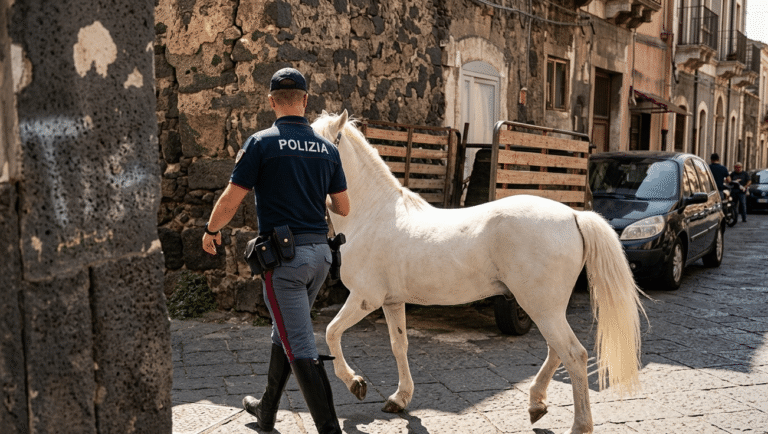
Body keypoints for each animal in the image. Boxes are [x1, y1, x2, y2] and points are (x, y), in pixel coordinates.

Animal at [312, 110, 647, 434]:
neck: (372, 214)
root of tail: (575, 215)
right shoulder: (392, 302)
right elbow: (399, 346)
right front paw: (399, 398)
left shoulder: (364, 298)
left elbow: (331, 332)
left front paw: (356, 383)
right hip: (548, 308)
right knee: (557, 352)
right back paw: (536, 403)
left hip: (539, 307)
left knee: (574, 355)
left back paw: (579, 425)